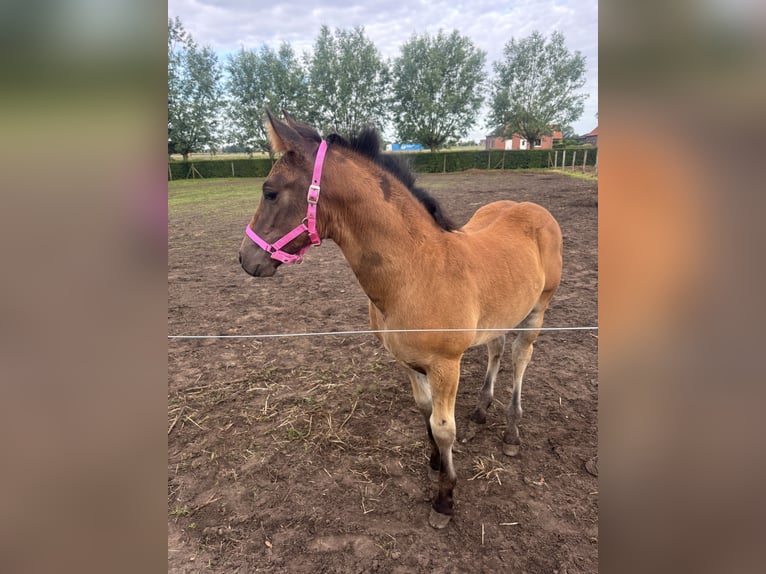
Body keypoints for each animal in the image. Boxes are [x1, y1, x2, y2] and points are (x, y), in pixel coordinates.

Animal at [240, 110, 564, 528]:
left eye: (270, 192)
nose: (246, 259)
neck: (415, 271)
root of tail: (533, 208)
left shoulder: (446, 364)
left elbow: (443, 428)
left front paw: (444, 499)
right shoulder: (407, 361)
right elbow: (425, 412)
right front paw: (434, 463)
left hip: (538, 309)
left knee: (521, 358)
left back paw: (511, 433)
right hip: (501, 314)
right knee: (495, 349)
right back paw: (480, 412)